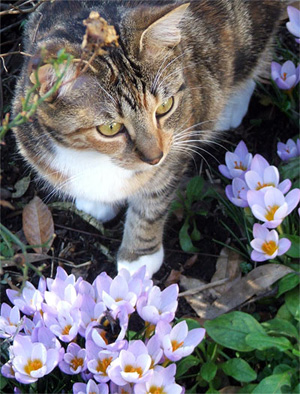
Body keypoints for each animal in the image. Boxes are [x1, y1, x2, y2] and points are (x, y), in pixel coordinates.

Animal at [12, 0, 284, 278]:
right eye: (110, 128)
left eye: (165, 106)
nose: (155, 157)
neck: (95, 158)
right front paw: (96, 202)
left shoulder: (177, 146)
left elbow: (152, 202)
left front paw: (139, 258)